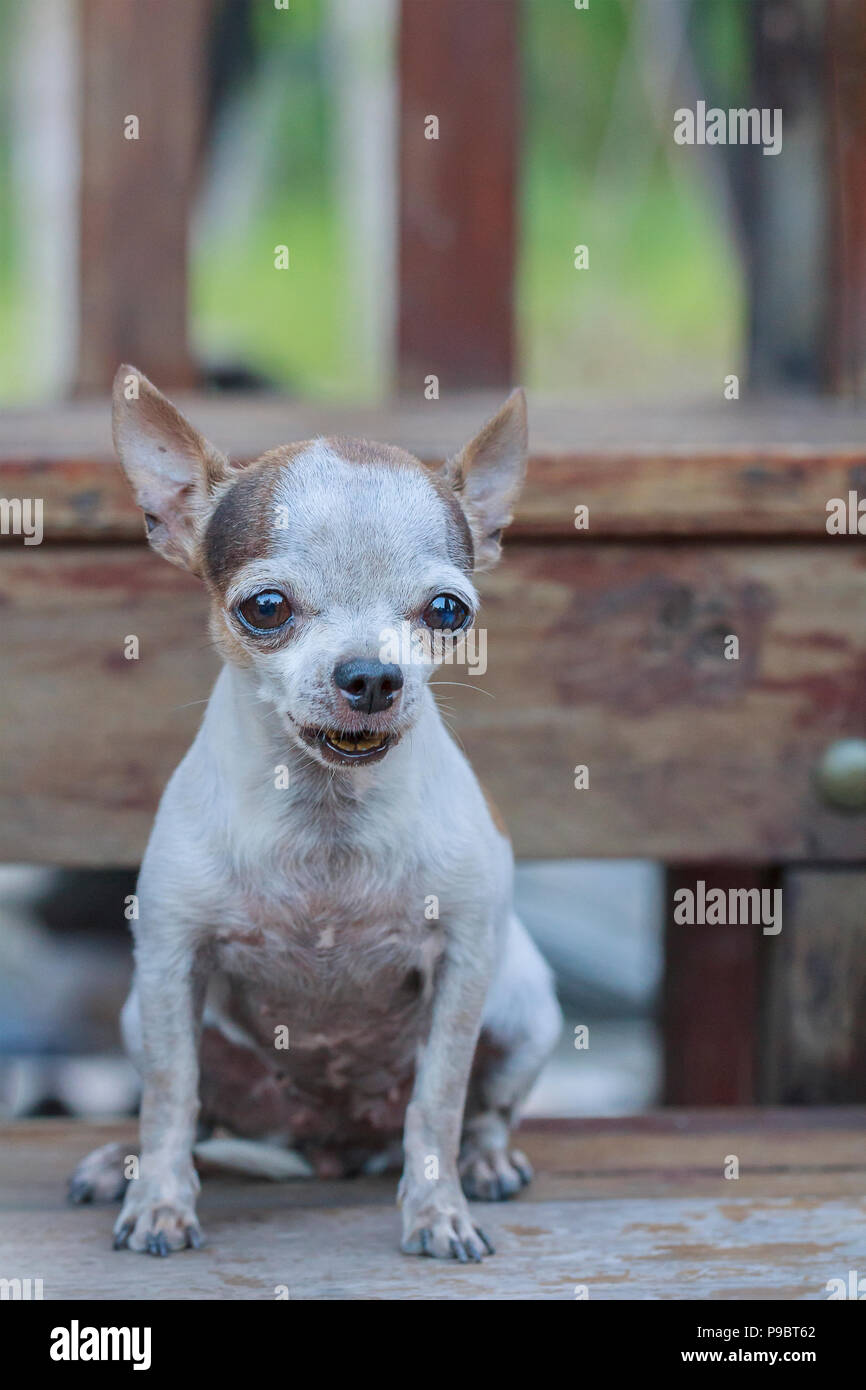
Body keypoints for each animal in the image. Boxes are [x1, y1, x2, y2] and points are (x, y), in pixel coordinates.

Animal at [69, 369, 561, 1262]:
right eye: (266, 607)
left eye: (448, 611)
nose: (371, 675)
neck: (326, 818)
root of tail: (332, 1145)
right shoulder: (169, 966)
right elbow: (169, 1096)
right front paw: (160, 1203)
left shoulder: (464, 968)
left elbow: (438, 1103)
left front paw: (436, 1210)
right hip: (141, 1017)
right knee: (198, 1118)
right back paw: (124, 1165)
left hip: (525, 1010)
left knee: (482, 1111)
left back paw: (486, 1162)